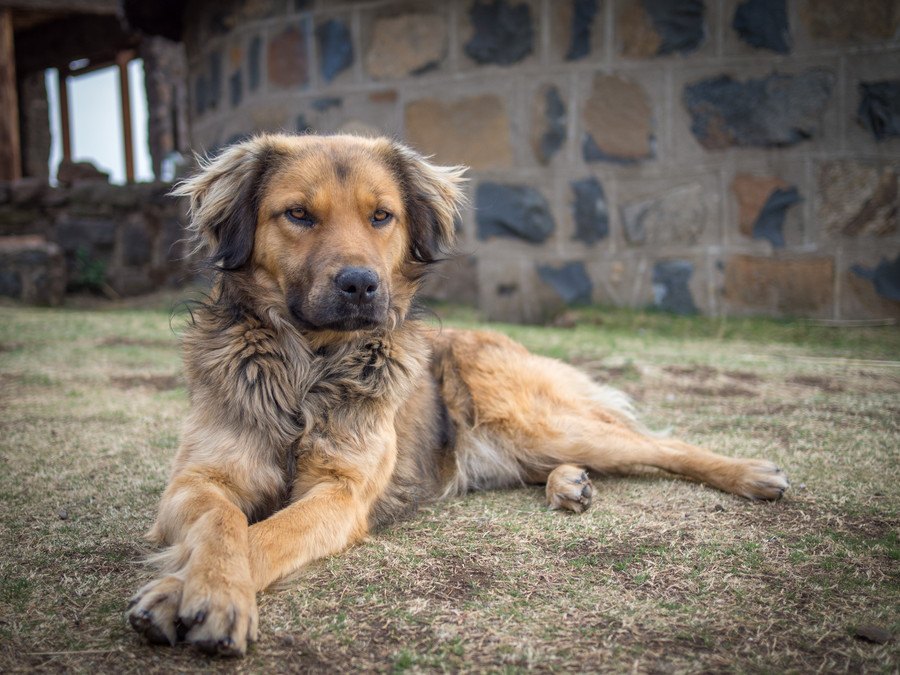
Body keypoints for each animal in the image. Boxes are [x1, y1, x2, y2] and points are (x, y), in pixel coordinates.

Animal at [126, 132, 788, 656]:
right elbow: (224, 523)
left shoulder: (340, 493)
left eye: (381, 217)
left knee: (661, 445)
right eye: (297, 214)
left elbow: (265, 534)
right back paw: (568, 484)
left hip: (540, 423)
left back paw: (750, 473)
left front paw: (197, 596)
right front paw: (203, 585)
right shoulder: (197, 480)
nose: (361, 285)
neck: (307, 371)